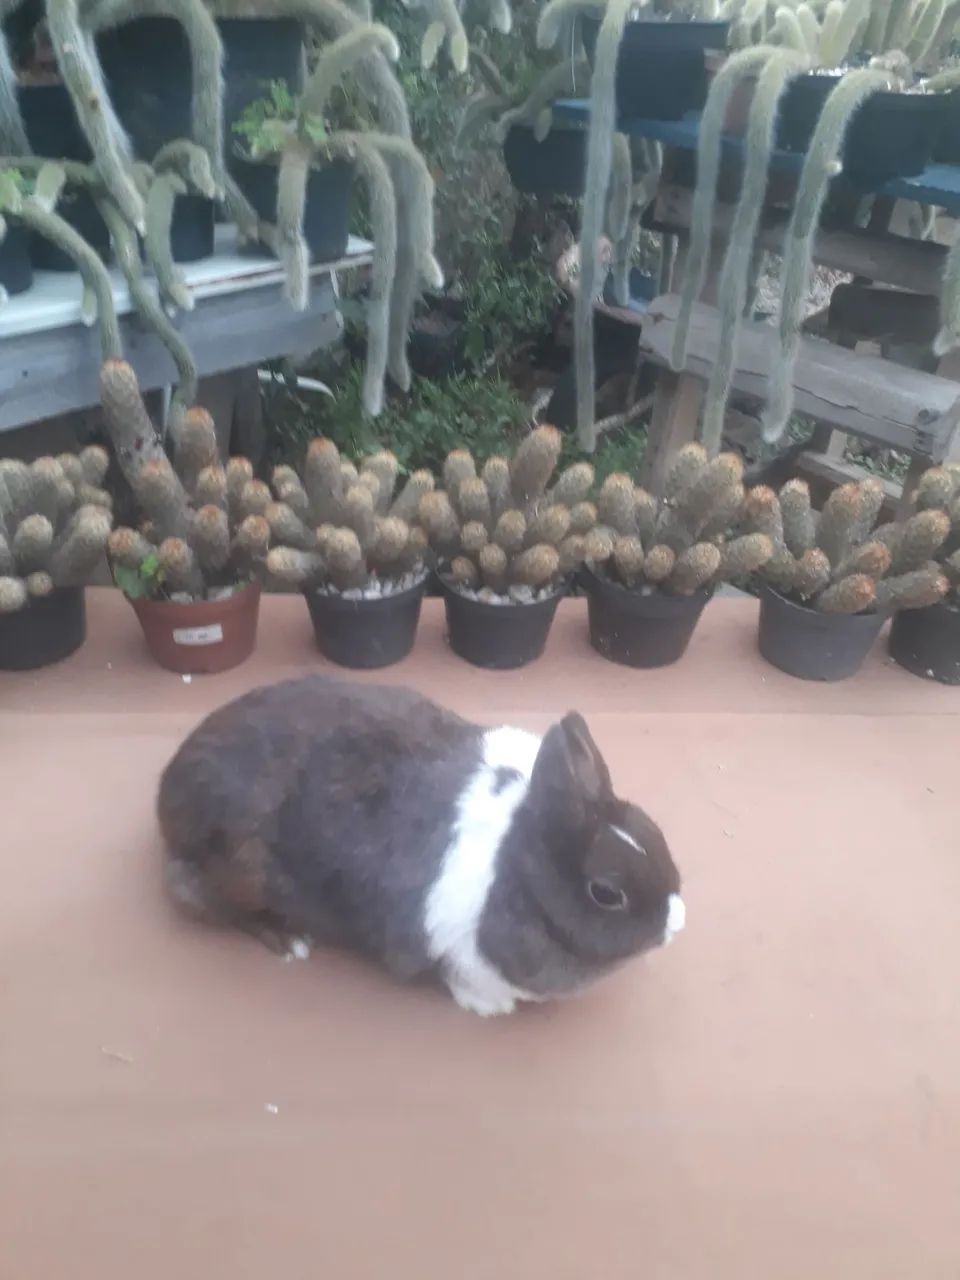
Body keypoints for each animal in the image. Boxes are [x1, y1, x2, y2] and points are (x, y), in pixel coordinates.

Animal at [158, 675, 685, 1016]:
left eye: (653, 832)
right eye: (606, 893)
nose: (677, 921)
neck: (517, 856)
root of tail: (168, 793)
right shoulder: (456, 950)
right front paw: (491, 1008)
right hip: (234, 869)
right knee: (215, 906)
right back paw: (289, 941)